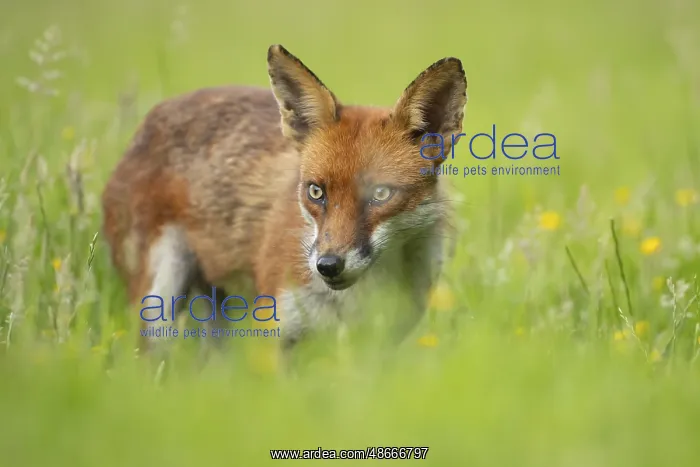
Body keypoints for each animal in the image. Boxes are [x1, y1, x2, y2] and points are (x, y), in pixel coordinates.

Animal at [101, 44, 467, 352]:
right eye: (316, 191)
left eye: (380, 194)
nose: (328, 266)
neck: (357, 299)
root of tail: (148, 121)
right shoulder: (273, 331)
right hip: (158, 304)